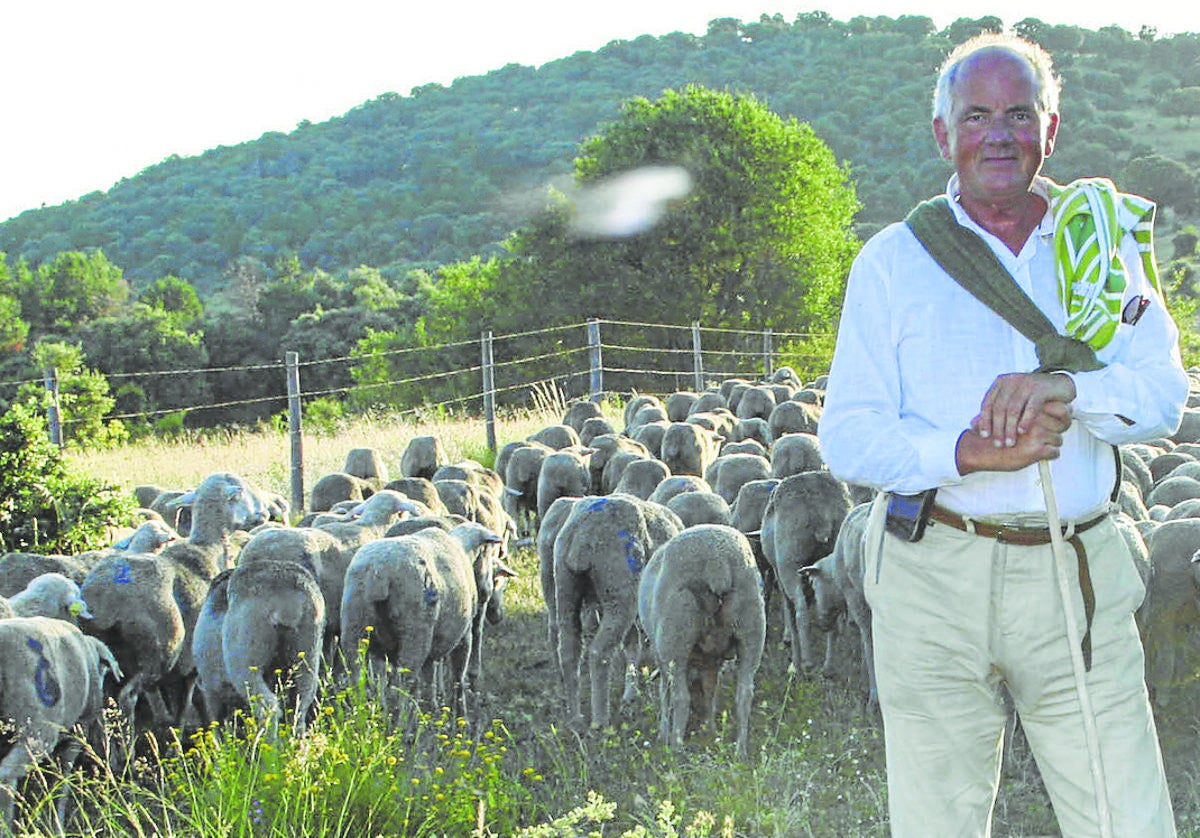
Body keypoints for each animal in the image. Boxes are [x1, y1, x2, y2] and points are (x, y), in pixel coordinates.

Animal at [552, 492, 686, 729]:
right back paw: (600, 720)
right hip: (620, 589)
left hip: (565, 587)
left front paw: (630, 693)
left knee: (568, 650)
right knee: (599, 652)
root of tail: (583, 530)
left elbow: (632, 646)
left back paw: (575, 718)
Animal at [638, 525, 768, 753]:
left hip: (675, 637)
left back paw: (675, 749)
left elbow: (665, 692)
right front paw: (710, 729)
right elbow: (710, 689)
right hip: (751, 627)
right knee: (744, 694)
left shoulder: (661, 655)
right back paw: (740, 750)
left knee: (681, 698)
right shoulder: (712, 659)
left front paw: (663, 733)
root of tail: (717, 559)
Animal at [758, 470, 854, 672]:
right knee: (834, 607)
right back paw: (829, 667)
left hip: (790, 562)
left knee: (801, 611)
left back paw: (806, 663)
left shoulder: (781, 575)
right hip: (834, 561)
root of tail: (821, 514)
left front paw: (794, 657)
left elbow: (790, 612)